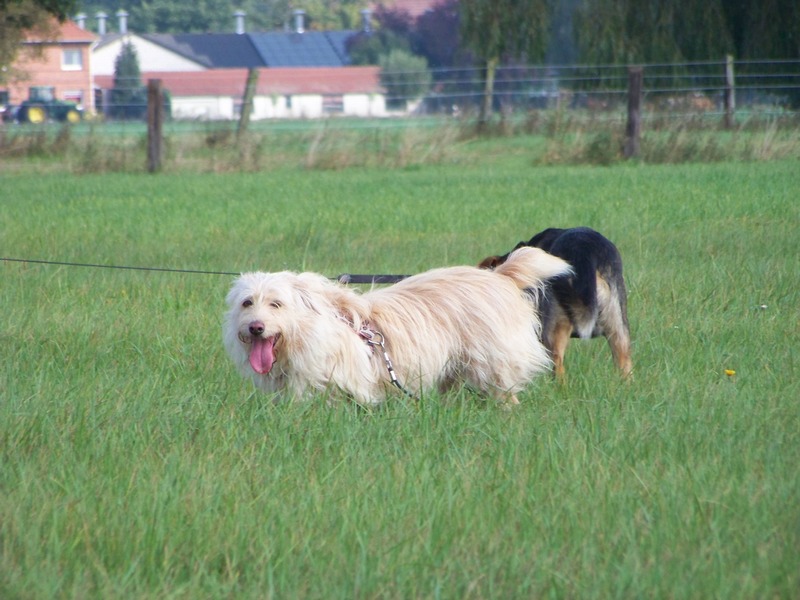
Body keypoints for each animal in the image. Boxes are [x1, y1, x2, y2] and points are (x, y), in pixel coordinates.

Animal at [222, 246, 572, 406]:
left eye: (276, 304)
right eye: (247, 303)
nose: (255, 328)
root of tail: (499, 276)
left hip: (493, 361)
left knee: (504, 392)